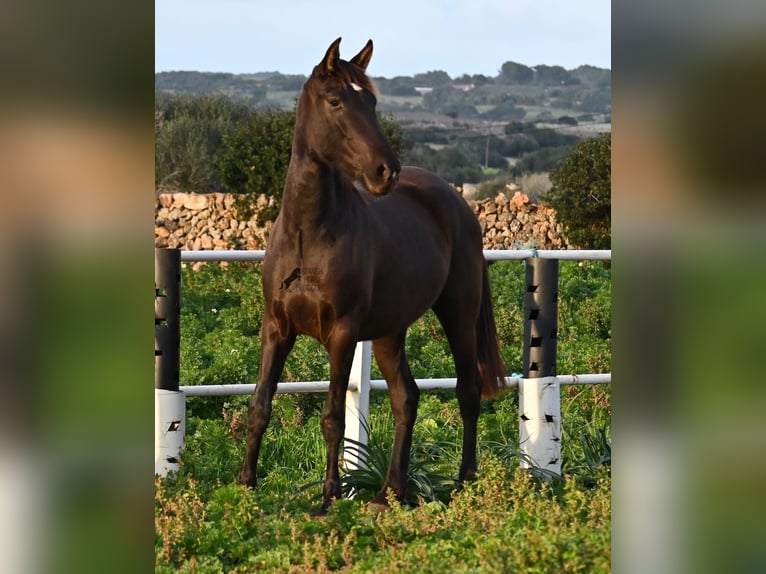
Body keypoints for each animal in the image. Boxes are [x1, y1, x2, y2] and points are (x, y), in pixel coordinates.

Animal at [237, 38, 508, 510]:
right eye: (335, 100)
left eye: (373, 102)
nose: (386, 171)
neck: (309, 234)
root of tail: (458, 205)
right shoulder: (276, 328)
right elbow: (260, 405)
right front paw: (246, 486)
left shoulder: (342, 334)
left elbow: (332, 415)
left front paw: (328, 499)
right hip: (389, 332)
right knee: (406, 397)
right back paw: (389, 492)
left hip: (458, 312)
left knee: (468, 390)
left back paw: (464, 482)